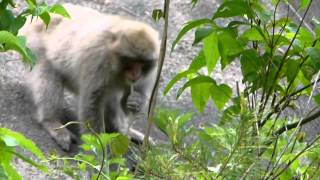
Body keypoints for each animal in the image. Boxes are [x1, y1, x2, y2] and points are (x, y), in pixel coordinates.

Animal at [20, 3, 159, 151]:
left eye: (142, 63)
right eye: (131, 61)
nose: (135, 74)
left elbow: (136, 94)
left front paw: (136, 101)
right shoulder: (97, 59)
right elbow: (92, 102)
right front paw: (98, 148)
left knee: (111, 93)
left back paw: (121, 131)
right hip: (33, 47)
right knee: (48, 77)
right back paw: (51, 122)